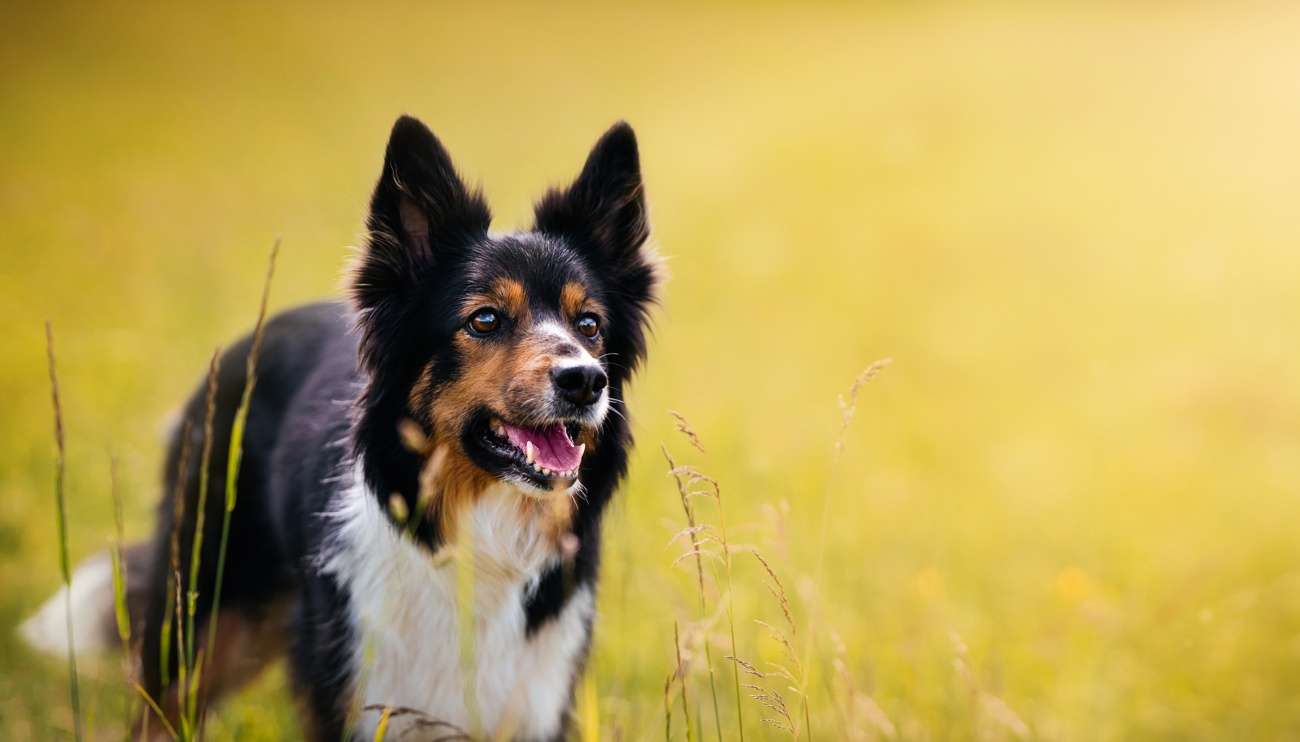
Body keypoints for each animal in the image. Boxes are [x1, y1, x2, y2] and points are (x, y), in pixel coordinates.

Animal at [22, 113, 660, 738]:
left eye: (589, 325)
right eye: (485, 320)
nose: (585, 381)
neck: (478, 538)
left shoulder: (535, 695)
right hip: (201, 613)